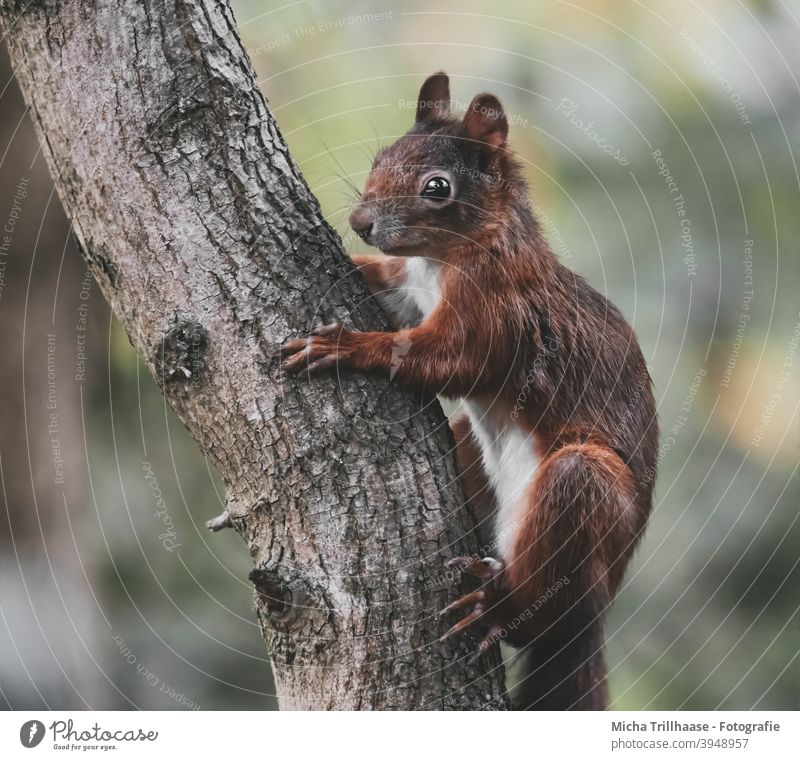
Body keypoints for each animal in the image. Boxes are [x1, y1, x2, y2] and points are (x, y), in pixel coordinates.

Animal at [282, 74, 656, 708]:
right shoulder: (409, 291)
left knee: (545, 606)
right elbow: (384, 288)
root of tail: (600, 610)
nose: (359, 221)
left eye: (438, 188)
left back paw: (498, 609)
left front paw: (345, 346)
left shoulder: (497, 313)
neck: (445, 257)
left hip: (586, 502)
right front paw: (347, 257)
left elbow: (445, 359)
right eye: (380, 157)